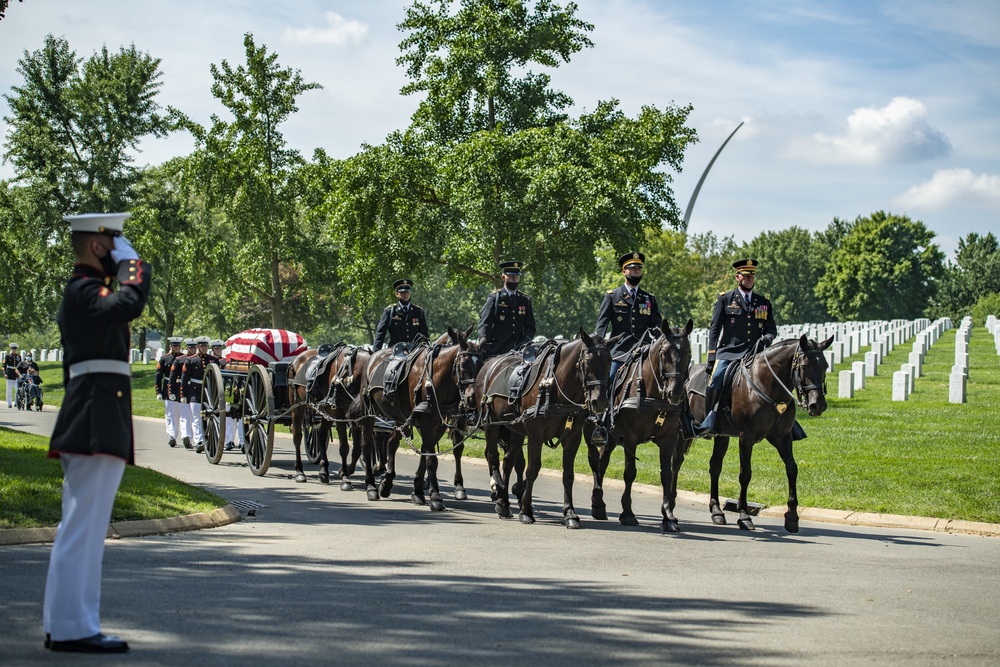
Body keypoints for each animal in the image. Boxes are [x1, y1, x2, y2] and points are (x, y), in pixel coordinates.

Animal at [290, 348, 376, 488]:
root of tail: (296, 360)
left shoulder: (355, 417)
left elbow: (357, 448)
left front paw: (346, 470)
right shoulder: (340, 414)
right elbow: (344, 447)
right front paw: (345, 478)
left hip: (326, 412)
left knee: (321, 437)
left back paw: (323, 471)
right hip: (296, 408)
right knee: (297, 437)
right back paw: (299, 471)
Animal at [350, 328, 482, 512]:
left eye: (482, 364)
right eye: (463, 364)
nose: (472, 399)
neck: (435, 379)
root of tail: (372, 357)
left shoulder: (438, 423)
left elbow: (426, 453)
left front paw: (418, 491)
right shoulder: (426, 420)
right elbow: (431, 459)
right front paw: (435, 496)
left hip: (400, 417)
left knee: (392, 443)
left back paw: (386, 482)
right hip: (369, 414)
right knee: (367, 445)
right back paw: (371, 486)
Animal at [474, 332, 612, 528]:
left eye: (610, 361)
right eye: (587, 361)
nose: (599, 402)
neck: (557, 388)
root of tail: (489, 365)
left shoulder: (573, 437)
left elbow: (568, 474)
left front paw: (570, 513)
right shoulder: (535, 435)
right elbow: (532, 469)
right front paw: (525, 511)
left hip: (515, 430)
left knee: (507, 462)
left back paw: (504, 502)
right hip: (491, 425)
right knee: (492, 457)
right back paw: (500, 493)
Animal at [584, 318, 696, 532]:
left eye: (688, 353)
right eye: (664, 352)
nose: (675, 392)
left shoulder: (669, 438)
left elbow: (667, 475)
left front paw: (668, 516)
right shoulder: (630, 437)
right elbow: (630, 473)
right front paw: (627, 513)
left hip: (612, 439)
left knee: (601, 462)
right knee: (599, 463)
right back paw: (598, 504)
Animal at [684, 336, 832, 536]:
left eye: (825, 365)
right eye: (803, 365)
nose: (818, 405)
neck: (767, 385)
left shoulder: (782, 437)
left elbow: (792, 469)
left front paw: (792, 517)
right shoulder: (746, 438)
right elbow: (745, 474)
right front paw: (744, 515)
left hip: (721, 435)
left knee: (714, 467)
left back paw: (716, 511)